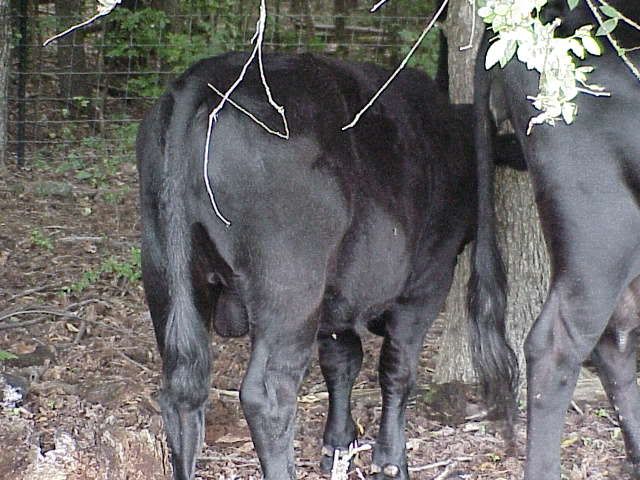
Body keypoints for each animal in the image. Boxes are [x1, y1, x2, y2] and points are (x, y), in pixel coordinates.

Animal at [136, 52, 518, 480]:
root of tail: (203, 79)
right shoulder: (426, 283)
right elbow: (397, 369)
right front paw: (390, 461)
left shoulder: (335, 299)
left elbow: (341, 361)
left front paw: (337, 443)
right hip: (290, 288)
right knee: (268, 395)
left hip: (165, 269)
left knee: (181, 392)